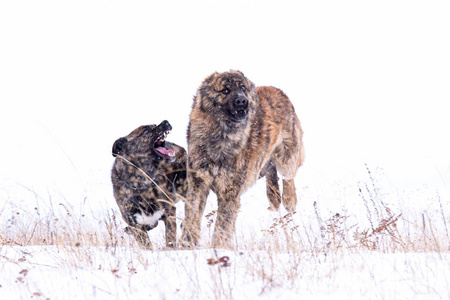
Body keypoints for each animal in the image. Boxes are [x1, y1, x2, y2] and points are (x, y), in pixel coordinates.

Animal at [111, 120, 187, 250]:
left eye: (154, 125)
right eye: (146, 131)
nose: (165, 121)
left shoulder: (169, 212)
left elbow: (170, 239)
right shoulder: (135, 223)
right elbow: (146, 244)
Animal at [183, 69, 306, 248]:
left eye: (242, 87)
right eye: (225, 90)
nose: (242, 100)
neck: (220, 136)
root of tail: (279, 91)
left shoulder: (230, 191)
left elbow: (223, 223)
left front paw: (219, 248)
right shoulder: (198, 183)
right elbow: (192, 216)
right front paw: (187, 245)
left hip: (287, 156)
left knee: (288, 178)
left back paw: (289, 202)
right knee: (271, 172)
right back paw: (273, 201)